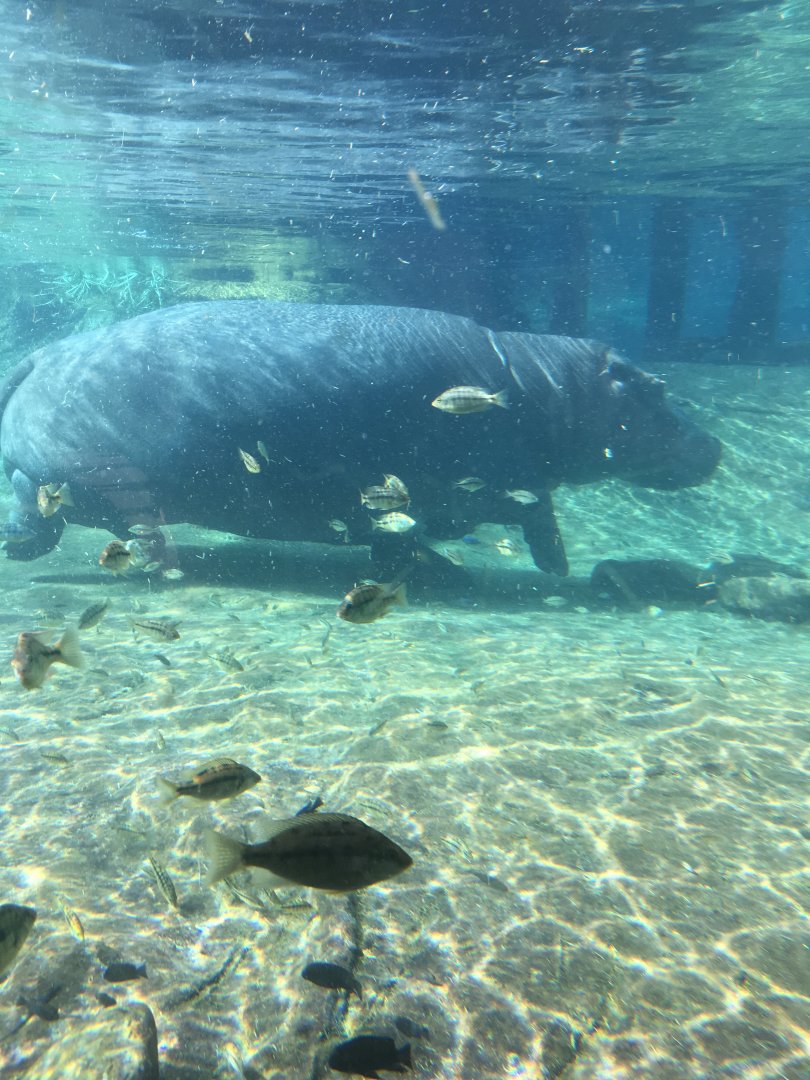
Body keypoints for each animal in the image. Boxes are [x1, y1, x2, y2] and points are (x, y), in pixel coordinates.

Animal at [0, 301, 720, 577]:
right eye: (655, 388)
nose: (715, 447)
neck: (545, 386)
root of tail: (39, 353)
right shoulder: (491, 481)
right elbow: (537, 509)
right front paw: (553, 565)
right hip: (82, 476)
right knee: (35, 497)